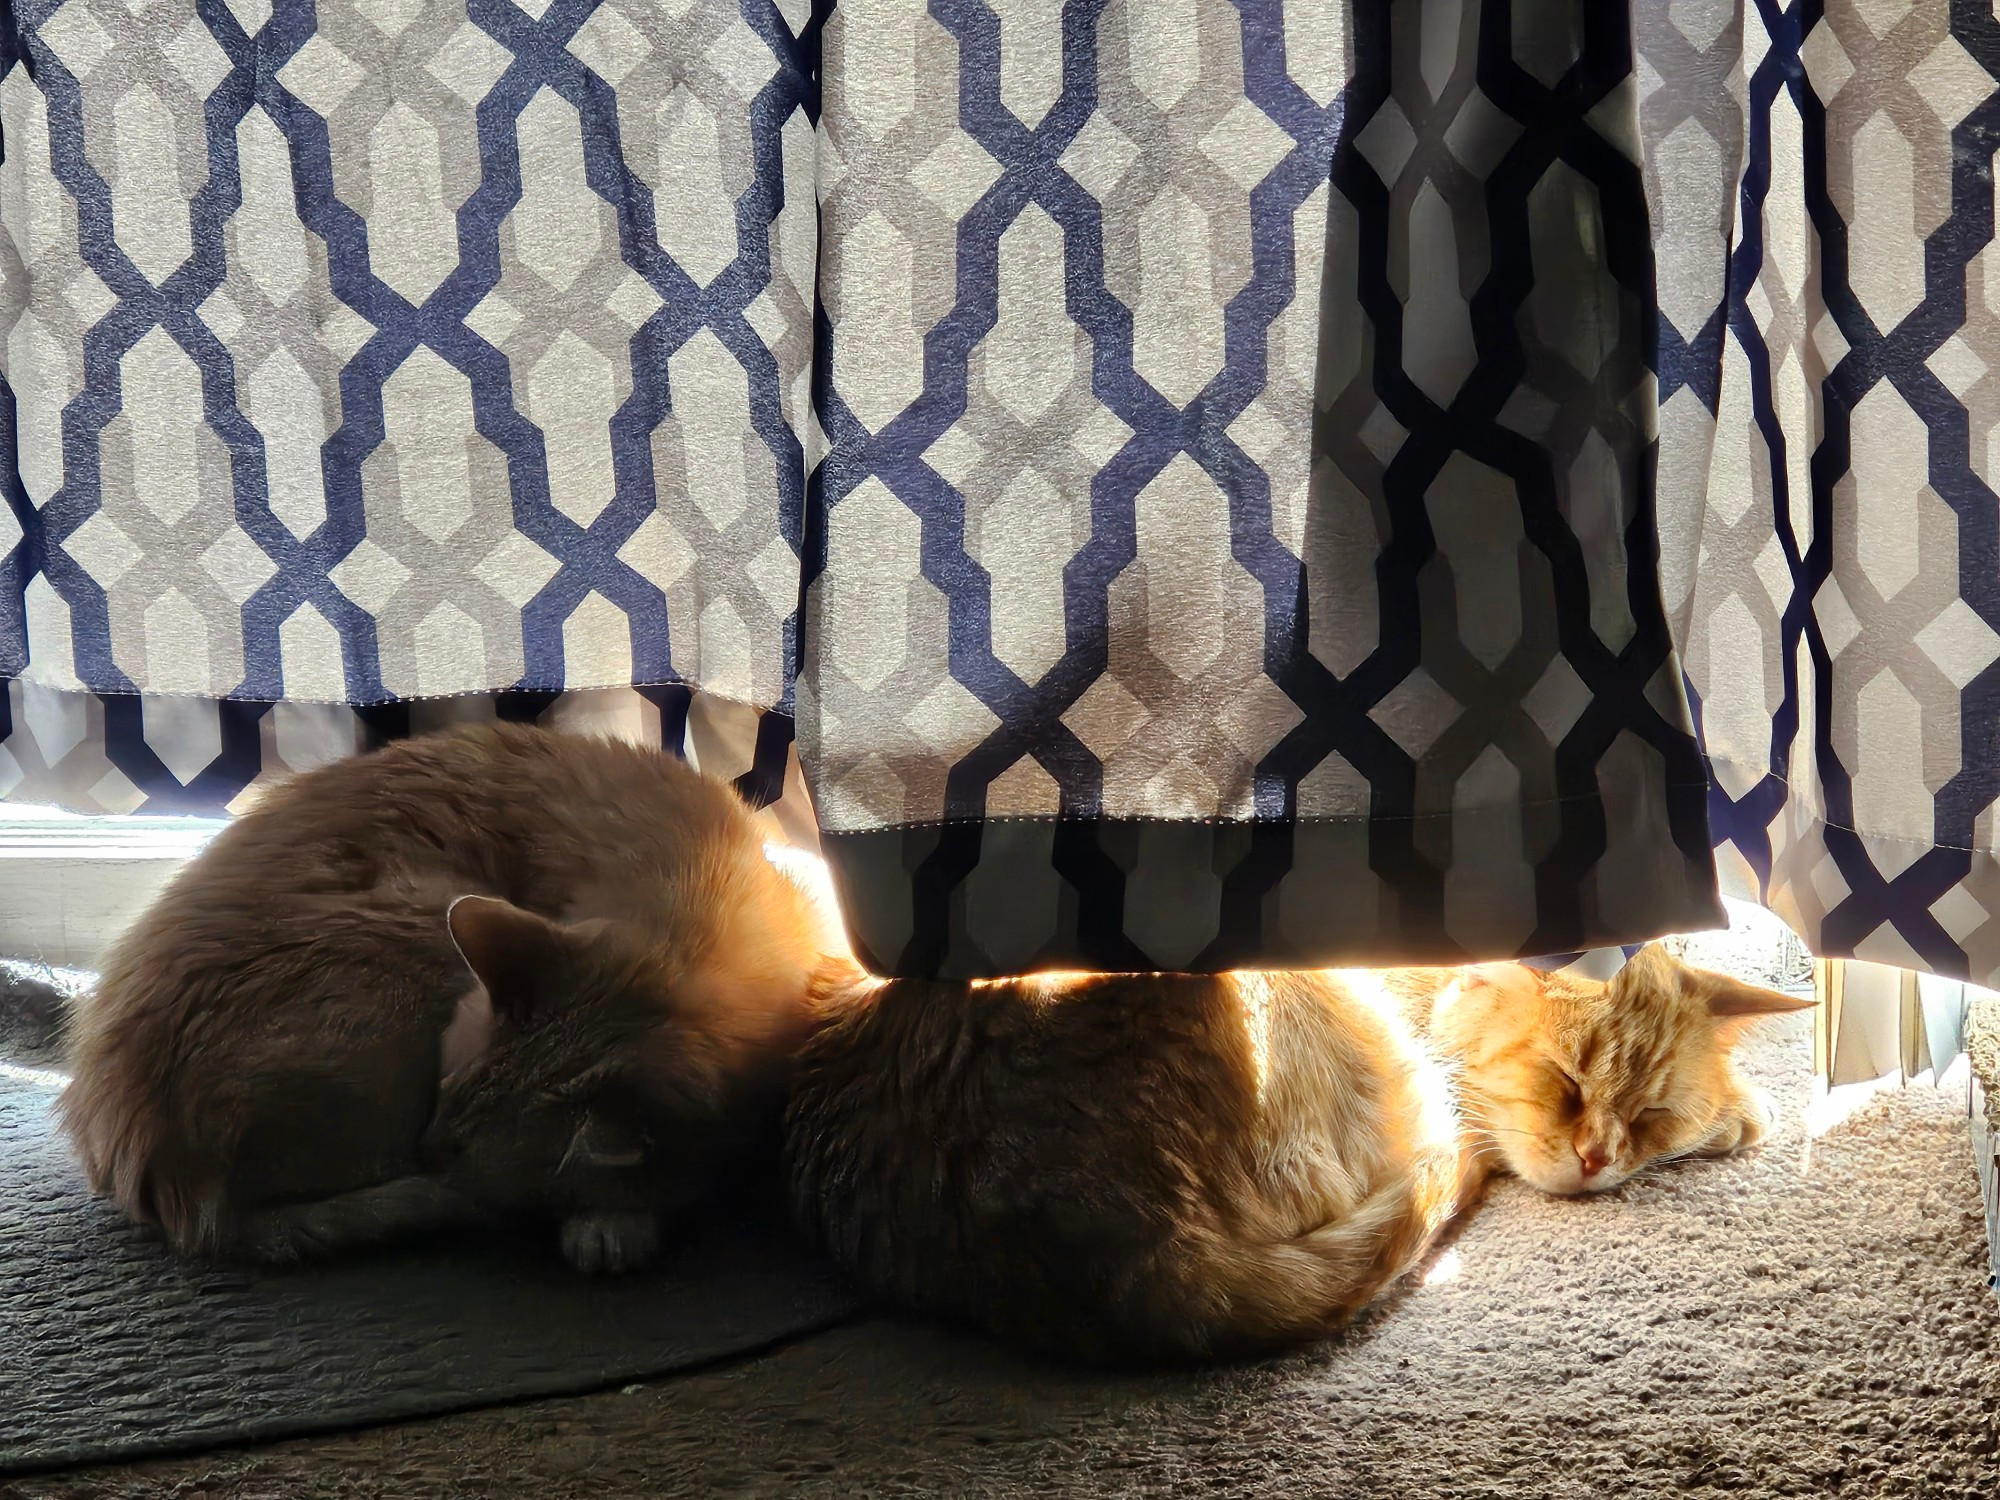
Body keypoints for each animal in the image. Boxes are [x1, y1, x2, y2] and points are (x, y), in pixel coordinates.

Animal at [60, 724, 844, 1272]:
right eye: (439, 1098)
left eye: (452, 1125)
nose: (428, 1153)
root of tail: (173, 1188)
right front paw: (608, 1225)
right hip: (419, 920)